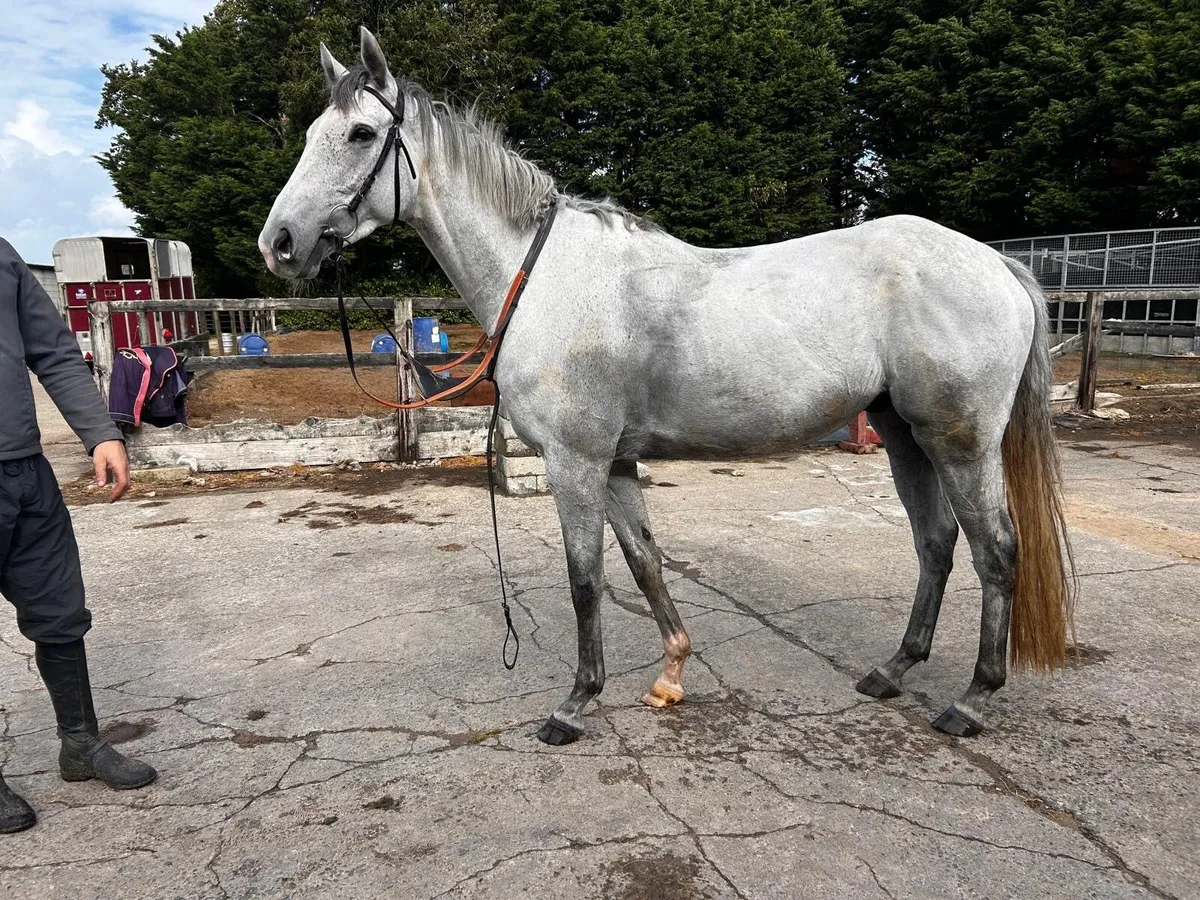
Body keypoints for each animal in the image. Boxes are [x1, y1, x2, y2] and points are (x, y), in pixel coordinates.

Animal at [259, 28, 1074, 745]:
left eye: (361, 133)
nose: (279, 243)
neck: (545, 275)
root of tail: (998, 264)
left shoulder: (576, 462)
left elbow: (585, 578)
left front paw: (576, 703)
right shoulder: (616, 462)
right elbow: (644, 562)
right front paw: (672, 673)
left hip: (960, 443)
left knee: (996, 551)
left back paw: (971, 700)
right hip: (904, 436)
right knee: (935, 545)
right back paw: (894, 670)